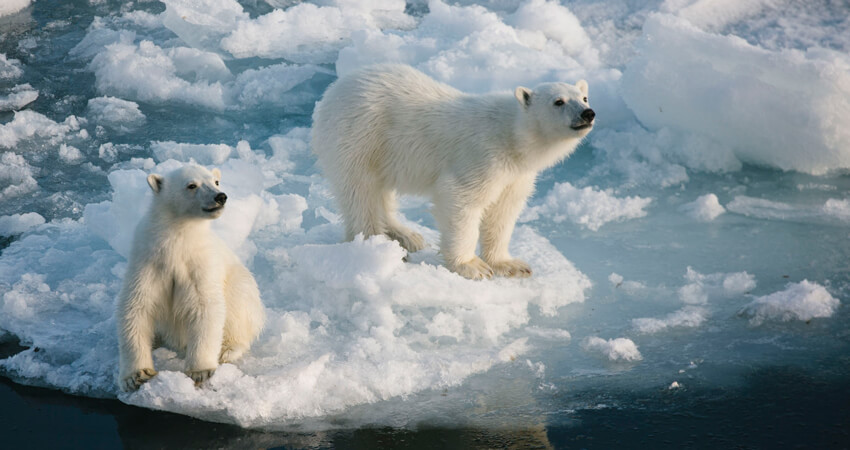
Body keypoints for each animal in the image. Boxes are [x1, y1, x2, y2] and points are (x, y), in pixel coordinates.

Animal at [116, 164, 265, 392]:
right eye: (192, 185)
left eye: (216, 181)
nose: (221, 196)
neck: (176, 240)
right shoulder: (147, 260)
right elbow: (136, 307)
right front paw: (137, 375)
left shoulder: (198, 265)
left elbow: (205, 307)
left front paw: (200, 371)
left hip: (240, 283)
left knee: (239, 307)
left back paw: (227, 350)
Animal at [311, 64, 595, 280]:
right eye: (558, 101)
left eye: (584, 97)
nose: (588, 113)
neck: (512, 135)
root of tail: (334, 90)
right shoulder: (483, 156)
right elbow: (461, 199)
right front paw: (472, 266)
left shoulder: (515, 175)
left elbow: (503, 211)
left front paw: (510, 264)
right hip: (359, 137)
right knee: (360, 192)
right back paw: (375, 244)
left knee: (382, 191)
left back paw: (406, 235)